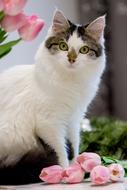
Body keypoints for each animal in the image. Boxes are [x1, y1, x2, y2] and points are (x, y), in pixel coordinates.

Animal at [0, 10, 105, 184]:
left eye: (83, 50)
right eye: (63, 46)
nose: (71, 58)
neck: (70, 84)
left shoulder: (74, 119)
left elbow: (74, 146)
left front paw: (76, 167)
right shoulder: (49, 124)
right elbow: (61, 151)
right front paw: (64, 171)